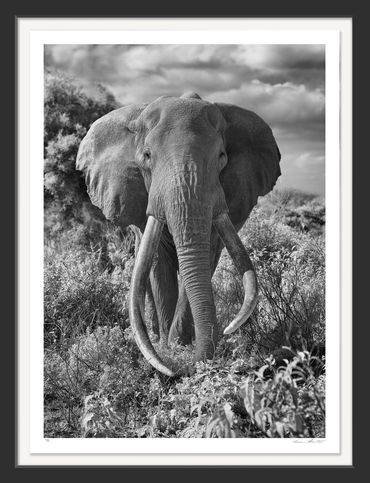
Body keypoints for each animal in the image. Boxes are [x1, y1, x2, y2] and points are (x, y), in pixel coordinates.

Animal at [76, 91, 282, 378]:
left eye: (221, 156)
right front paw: (169, 347)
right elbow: (159, 263)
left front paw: (179, 345)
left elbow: (203, 259)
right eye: (147, 156)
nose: (182, 369)